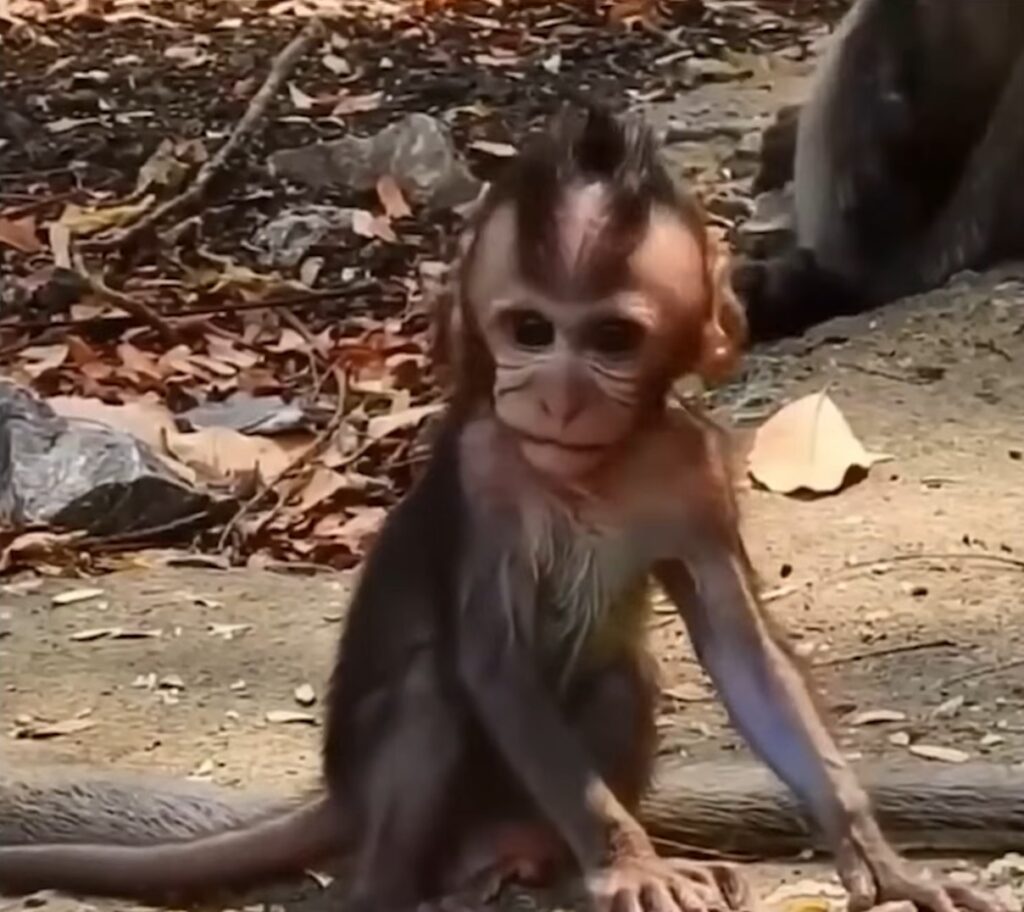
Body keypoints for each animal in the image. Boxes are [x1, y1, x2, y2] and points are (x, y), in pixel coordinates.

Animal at [0, 105, 1007, 912]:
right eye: (529, 331)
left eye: (610, 339)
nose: (556, 395)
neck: (591, 470)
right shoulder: (488, 473)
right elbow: (491, 660)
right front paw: (630, 861)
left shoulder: (694, 471)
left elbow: (741, 648)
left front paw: (874, 849)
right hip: (382, 791)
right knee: (435, 690)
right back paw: (403, 888)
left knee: (620, 675)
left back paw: (534, 858)